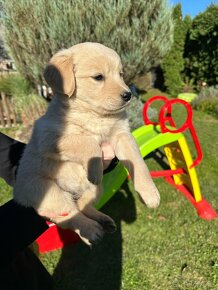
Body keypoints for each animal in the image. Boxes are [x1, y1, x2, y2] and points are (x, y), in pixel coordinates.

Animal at [14, 42, 160, 245]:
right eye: (98, 77)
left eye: (121, 74)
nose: (128, 95)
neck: (95, 115)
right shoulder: (49, 136)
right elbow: (88, 142)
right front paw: (96, 167)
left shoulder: (122, 134)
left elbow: (138, 162)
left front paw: (150, 193)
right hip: (47, 190)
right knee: (67, 215)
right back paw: (91, 230)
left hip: (95, 189)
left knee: (82, 205)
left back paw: (103, 220)